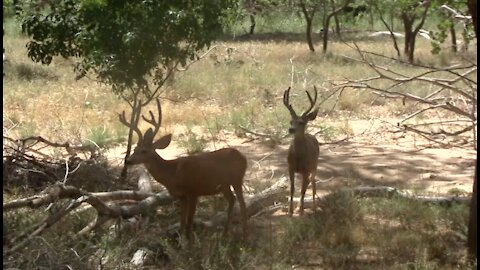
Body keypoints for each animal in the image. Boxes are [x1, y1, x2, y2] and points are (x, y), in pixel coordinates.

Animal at [119, 99, 248, 240]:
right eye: (135, 149)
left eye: (144, 151)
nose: (128, 160)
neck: (172, 173)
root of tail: (243, 157)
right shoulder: (182, 196)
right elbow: (182, 222)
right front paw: (181, 241)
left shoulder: (193, 192)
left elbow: (189, 222)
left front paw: (189, 243)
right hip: (224, 185)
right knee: (232, 200)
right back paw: (225, 234)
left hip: (237, 179)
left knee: (242, 204)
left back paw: (245, 235)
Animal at [284, 85, 320, 216]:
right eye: (291, 121)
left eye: (301, 122)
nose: (291, 129)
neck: (298, 157)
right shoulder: (290, 167)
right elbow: (292, 188)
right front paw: (290, 211)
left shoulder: (306, 170)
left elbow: (303, 191)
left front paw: (301, 211)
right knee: (308, 184)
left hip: (314, 166)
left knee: (313, 184)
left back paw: (313, 208)